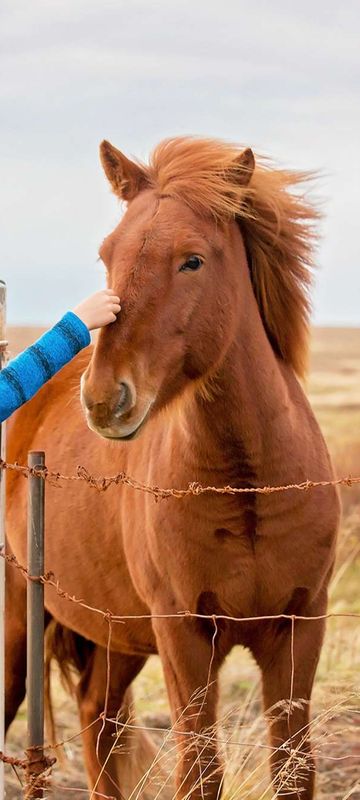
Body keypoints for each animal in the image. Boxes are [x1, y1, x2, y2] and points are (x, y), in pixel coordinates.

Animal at [4, 134, 338, 796]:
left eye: (193, 261)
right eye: (108, 254)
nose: (103, 399)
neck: (248, 486)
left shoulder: (299, 628)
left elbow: (294, 767)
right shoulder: (183, 635)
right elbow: (199, 771)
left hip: (116, 638)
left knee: (99, 719)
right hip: (15, 622)